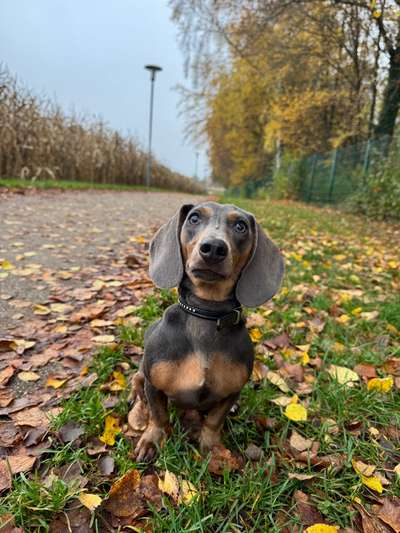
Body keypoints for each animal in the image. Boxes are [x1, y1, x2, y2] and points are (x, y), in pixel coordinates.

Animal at [133, 202, 282, 460]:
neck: (206, 314)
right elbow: (158, 415)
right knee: (137, 377)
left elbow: (214, 421)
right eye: (194, 218)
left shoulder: (232, 391)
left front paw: (212, 447)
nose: (213, 248)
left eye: (241, 226)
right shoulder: (155, 385)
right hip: (144, 369)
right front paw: (152, 440)